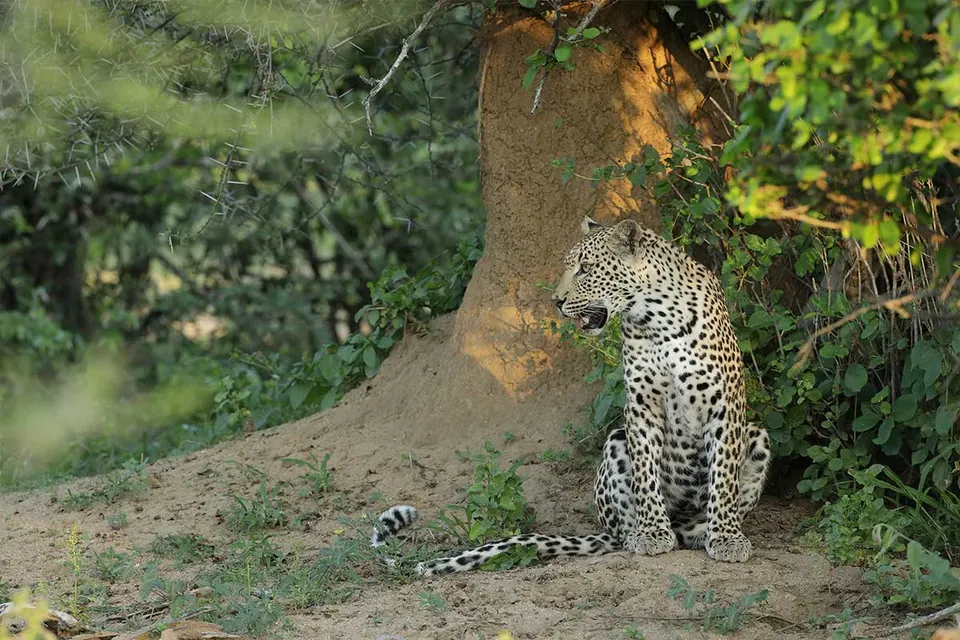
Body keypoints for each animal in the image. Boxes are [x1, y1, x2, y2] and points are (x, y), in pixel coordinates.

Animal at [371, 216, 772, 577]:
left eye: (586, 269)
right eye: (570, 268)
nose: (556, 301)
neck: (658, 319)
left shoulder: (725, 404)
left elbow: (723, 478)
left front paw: (727, 538)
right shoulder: (642, 405)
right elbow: (645, 473)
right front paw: (652, 533)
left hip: (758, 437)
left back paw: (702, 532)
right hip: (615, 443)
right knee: (621, 529)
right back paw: (644, 533)